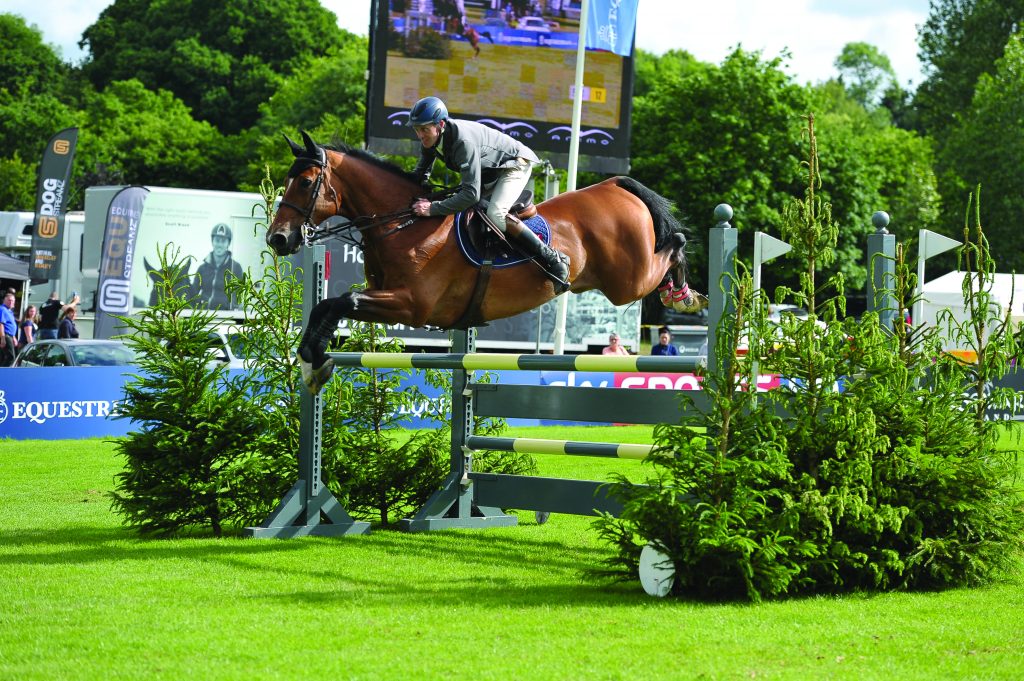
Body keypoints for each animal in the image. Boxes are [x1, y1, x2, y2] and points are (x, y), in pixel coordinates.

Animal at [268, 131, 708, 393]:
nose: (278, 238)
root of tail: (616, 186)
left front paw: (314, 360)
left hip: (628, 281)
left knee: (675, 245)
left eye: (305, 182)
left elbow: (341, 301)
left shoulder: (411, 305)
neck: (405, 224)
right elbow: (329, 305)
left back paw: (685, 297)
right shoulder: (385, 294)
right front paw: (311, 362)